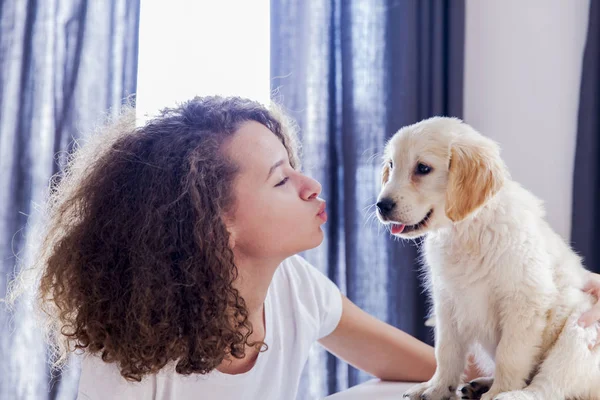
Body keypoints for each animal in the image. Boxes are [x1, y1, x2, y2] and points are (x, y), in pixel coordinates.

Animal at [378, 118, 600, 400]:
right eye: (391, 165)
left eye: (423, 168)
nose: (381, 205)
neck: (466, 230)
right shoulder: (447, 301)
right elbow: (446, 351)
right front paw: (437, 387)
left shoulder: (525, 301)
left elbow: (510, 354)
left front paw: (499, 391)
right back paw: (478, 384)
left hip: (580, 329)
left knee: (549, 384)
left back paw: (513, 394)